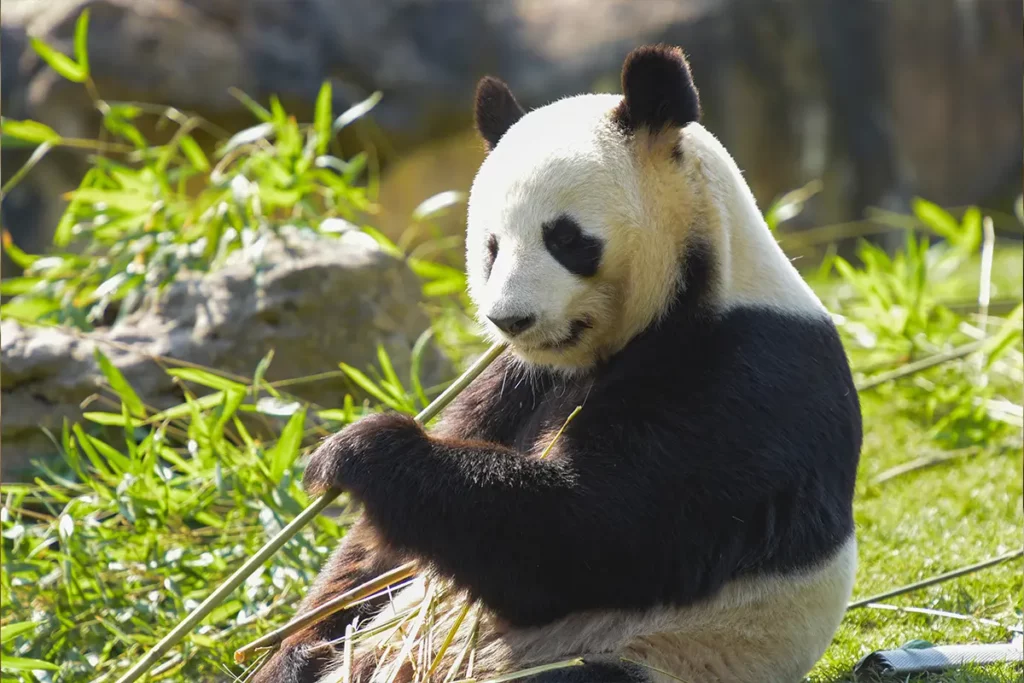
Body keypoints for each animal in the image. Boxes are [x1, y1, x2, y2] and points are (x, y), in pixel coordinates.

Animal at [253, 45, 862, 683]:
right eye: (491, 246)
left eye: (566, 238)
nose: (510, 320)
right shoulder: (516, 377)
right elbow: (371, 566)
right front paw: (290, 641)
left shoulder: (742, 376)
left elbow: (591, 533)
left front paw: (358, 449)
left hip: (647, 655)